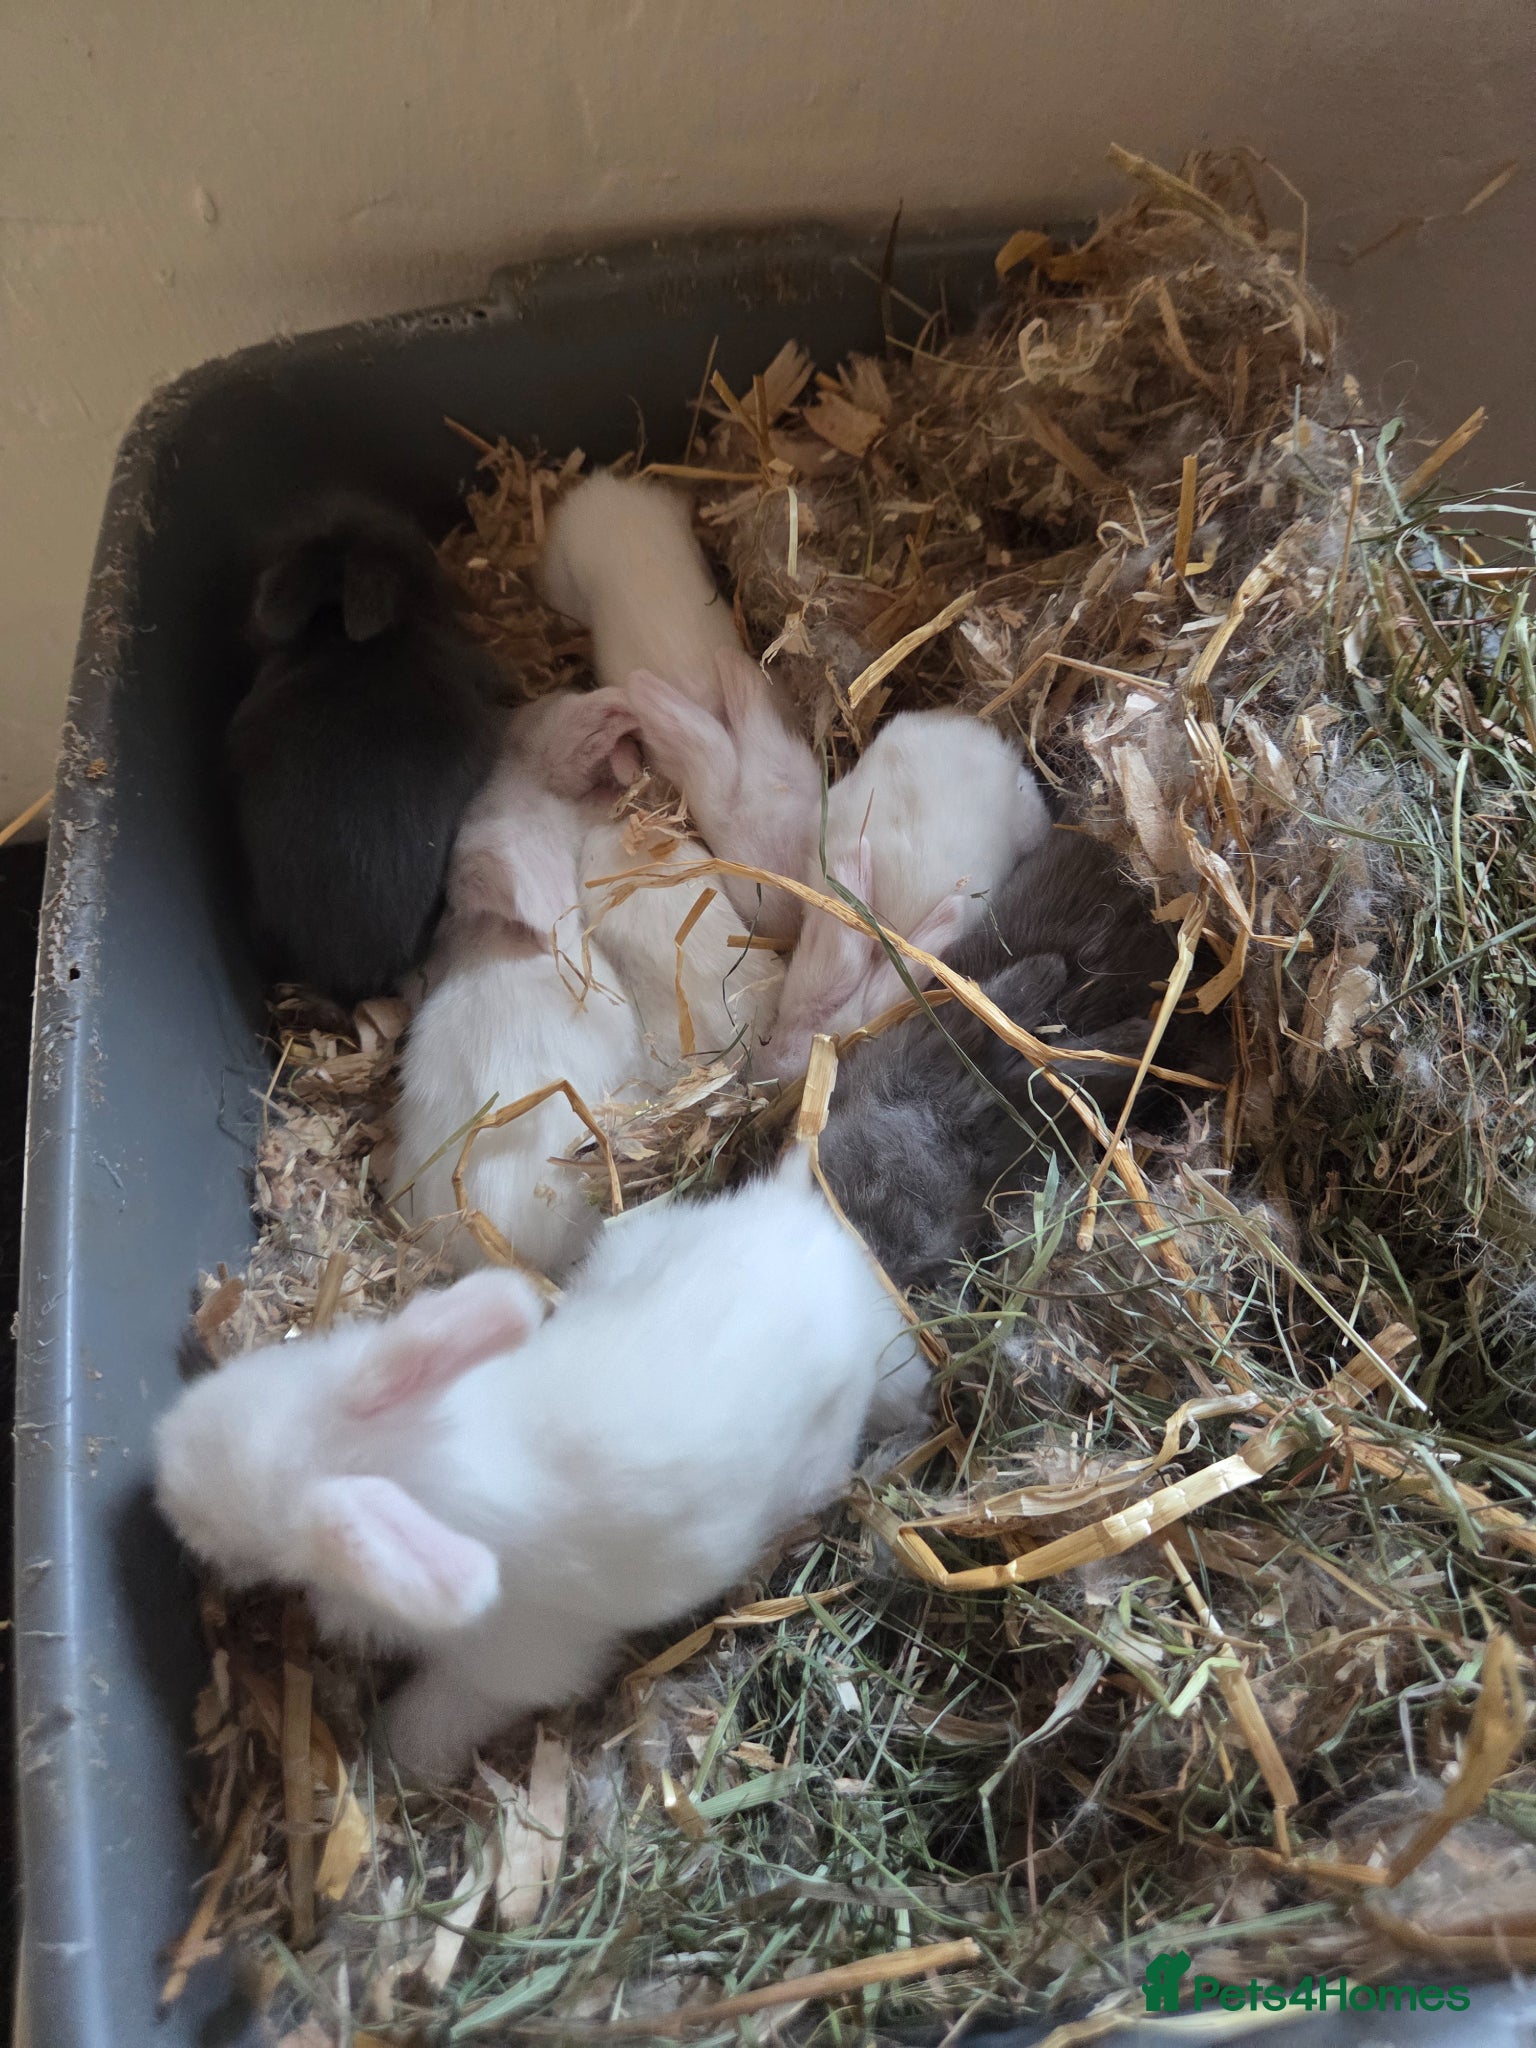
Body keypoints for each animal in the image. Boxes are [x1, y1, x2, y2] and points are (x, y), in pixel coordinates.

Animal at [153, 1148, 928, 1781]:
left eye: (234, 1529)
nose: (163, 1458)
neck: (421, 1457)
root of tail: (796, 1214)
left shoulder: (512, 1665)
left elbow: (437, 1718)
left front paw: (396, 1755)